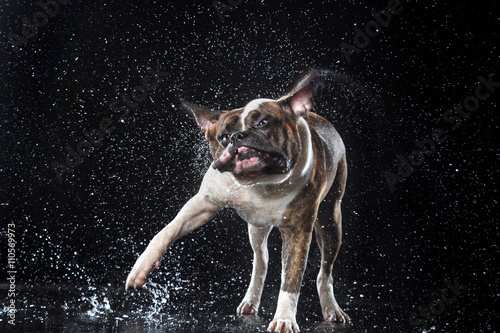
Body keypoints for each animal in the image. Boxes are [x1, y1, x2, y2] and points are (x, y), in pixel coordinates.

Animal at [127, 69, 350, 330]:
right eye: (223, 137)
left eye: (263, 123)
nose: (237, 137)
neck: (257, 182)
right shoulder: (203, 204)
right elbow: (167, 231)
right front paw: (142, 266)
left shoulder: (298, 230)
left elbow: (291, 280)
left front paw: (284, 318)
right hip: (256, 228)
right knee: (261, 260)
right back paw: (251, 299)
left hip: (330, 221)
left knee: (324, 273)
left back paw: (331, 308)